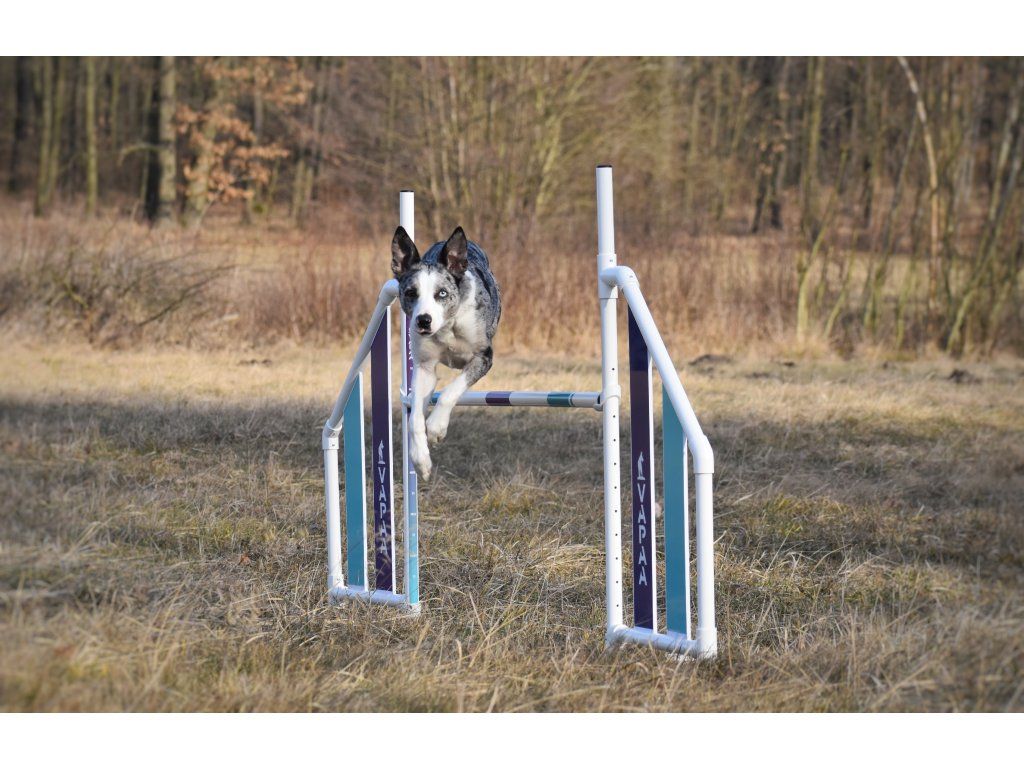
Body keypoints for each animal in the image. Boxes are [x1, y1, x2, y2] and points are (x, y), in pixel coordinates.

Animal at [391, 225, 501, 480]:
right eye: (410, 293)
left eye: (441, 293)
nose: (423, 320)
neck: (447, 326)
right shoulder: (424, 368)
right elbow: (414, 419)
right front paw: (420, 459)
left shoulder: (483, 357)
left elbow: (450, 392)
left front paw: (436, 427)